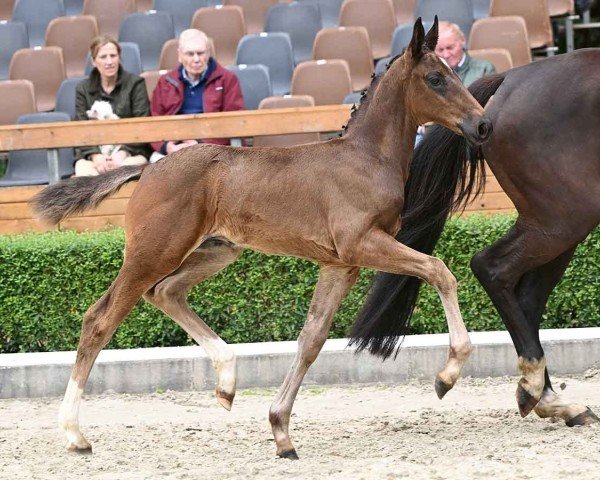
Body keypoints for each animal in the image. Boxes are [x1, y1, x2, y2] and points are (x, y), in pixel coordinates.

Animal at [30, 18, 492, 460]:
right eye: (436, 78)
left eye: (456, 70)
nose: (483, 124)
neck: (364, 159)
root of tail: (148, 168)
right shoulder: (362, 244)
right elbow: (439, 270)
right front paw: (447, 375)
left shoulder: (339, 264)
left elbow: (311, 340)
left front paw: (281, 432)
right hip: (153, 253)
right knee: (100, 319)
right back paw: (75, 434)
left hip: (215, 251)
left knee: (165, 293)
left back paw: (227, 381)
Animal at [352, 47, 600, 428]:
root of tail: (512, 78)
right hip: (562, 218)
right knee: (492, 268)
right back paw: (533, 386)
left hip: (563, 223)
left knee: (526, 296)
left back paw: (549, 399)